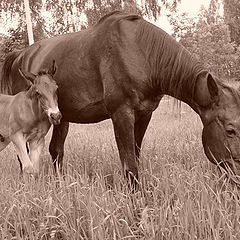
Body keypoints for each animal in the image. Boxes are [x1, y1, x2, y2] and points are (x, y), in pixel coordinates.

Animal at [0, 10, 240, 185]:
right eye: (230, 130)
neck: (142, 53)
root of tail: (20, 55)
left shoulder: (144, 115)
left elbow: (135, 156)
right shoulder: (121, 115)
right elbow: (130, 165)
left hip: (61, 119)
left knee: (56, 150)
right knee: (25, 156)